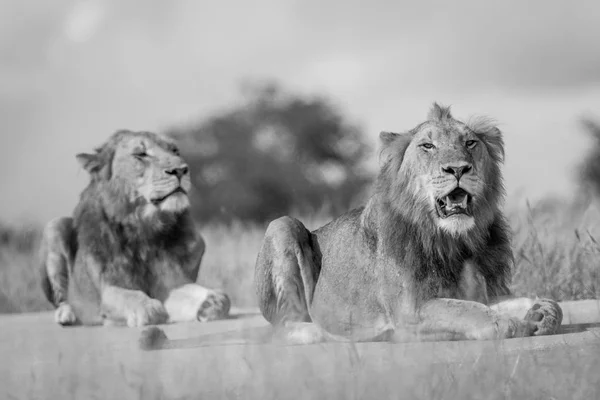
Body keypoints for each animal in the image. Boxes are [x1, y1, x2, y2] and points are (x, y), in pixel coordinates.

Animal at [39, 130, 231, 326]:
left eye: (175, 151)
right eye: (141, 154)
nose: (180, 170)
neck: (145, 229)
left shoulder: (170, 284)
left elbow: (214, 296)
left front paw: (211, 302)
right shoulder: (108, 291)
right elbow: (129, 296)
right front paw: (148, 308)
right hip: (54, 226)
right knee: (61, 299)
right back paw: (66, 315)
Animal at [253, 103, 564, 344]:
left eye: (470, 143)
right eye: (428, 146)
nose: (458, 169)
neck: (453, 241)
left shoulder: (485, 291)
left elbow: (539, 302)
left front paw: (542, 312)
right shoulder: (409, 311)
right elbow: (464, 310)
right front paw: (510, 323)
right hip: (282, 225)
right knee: (282, 328)